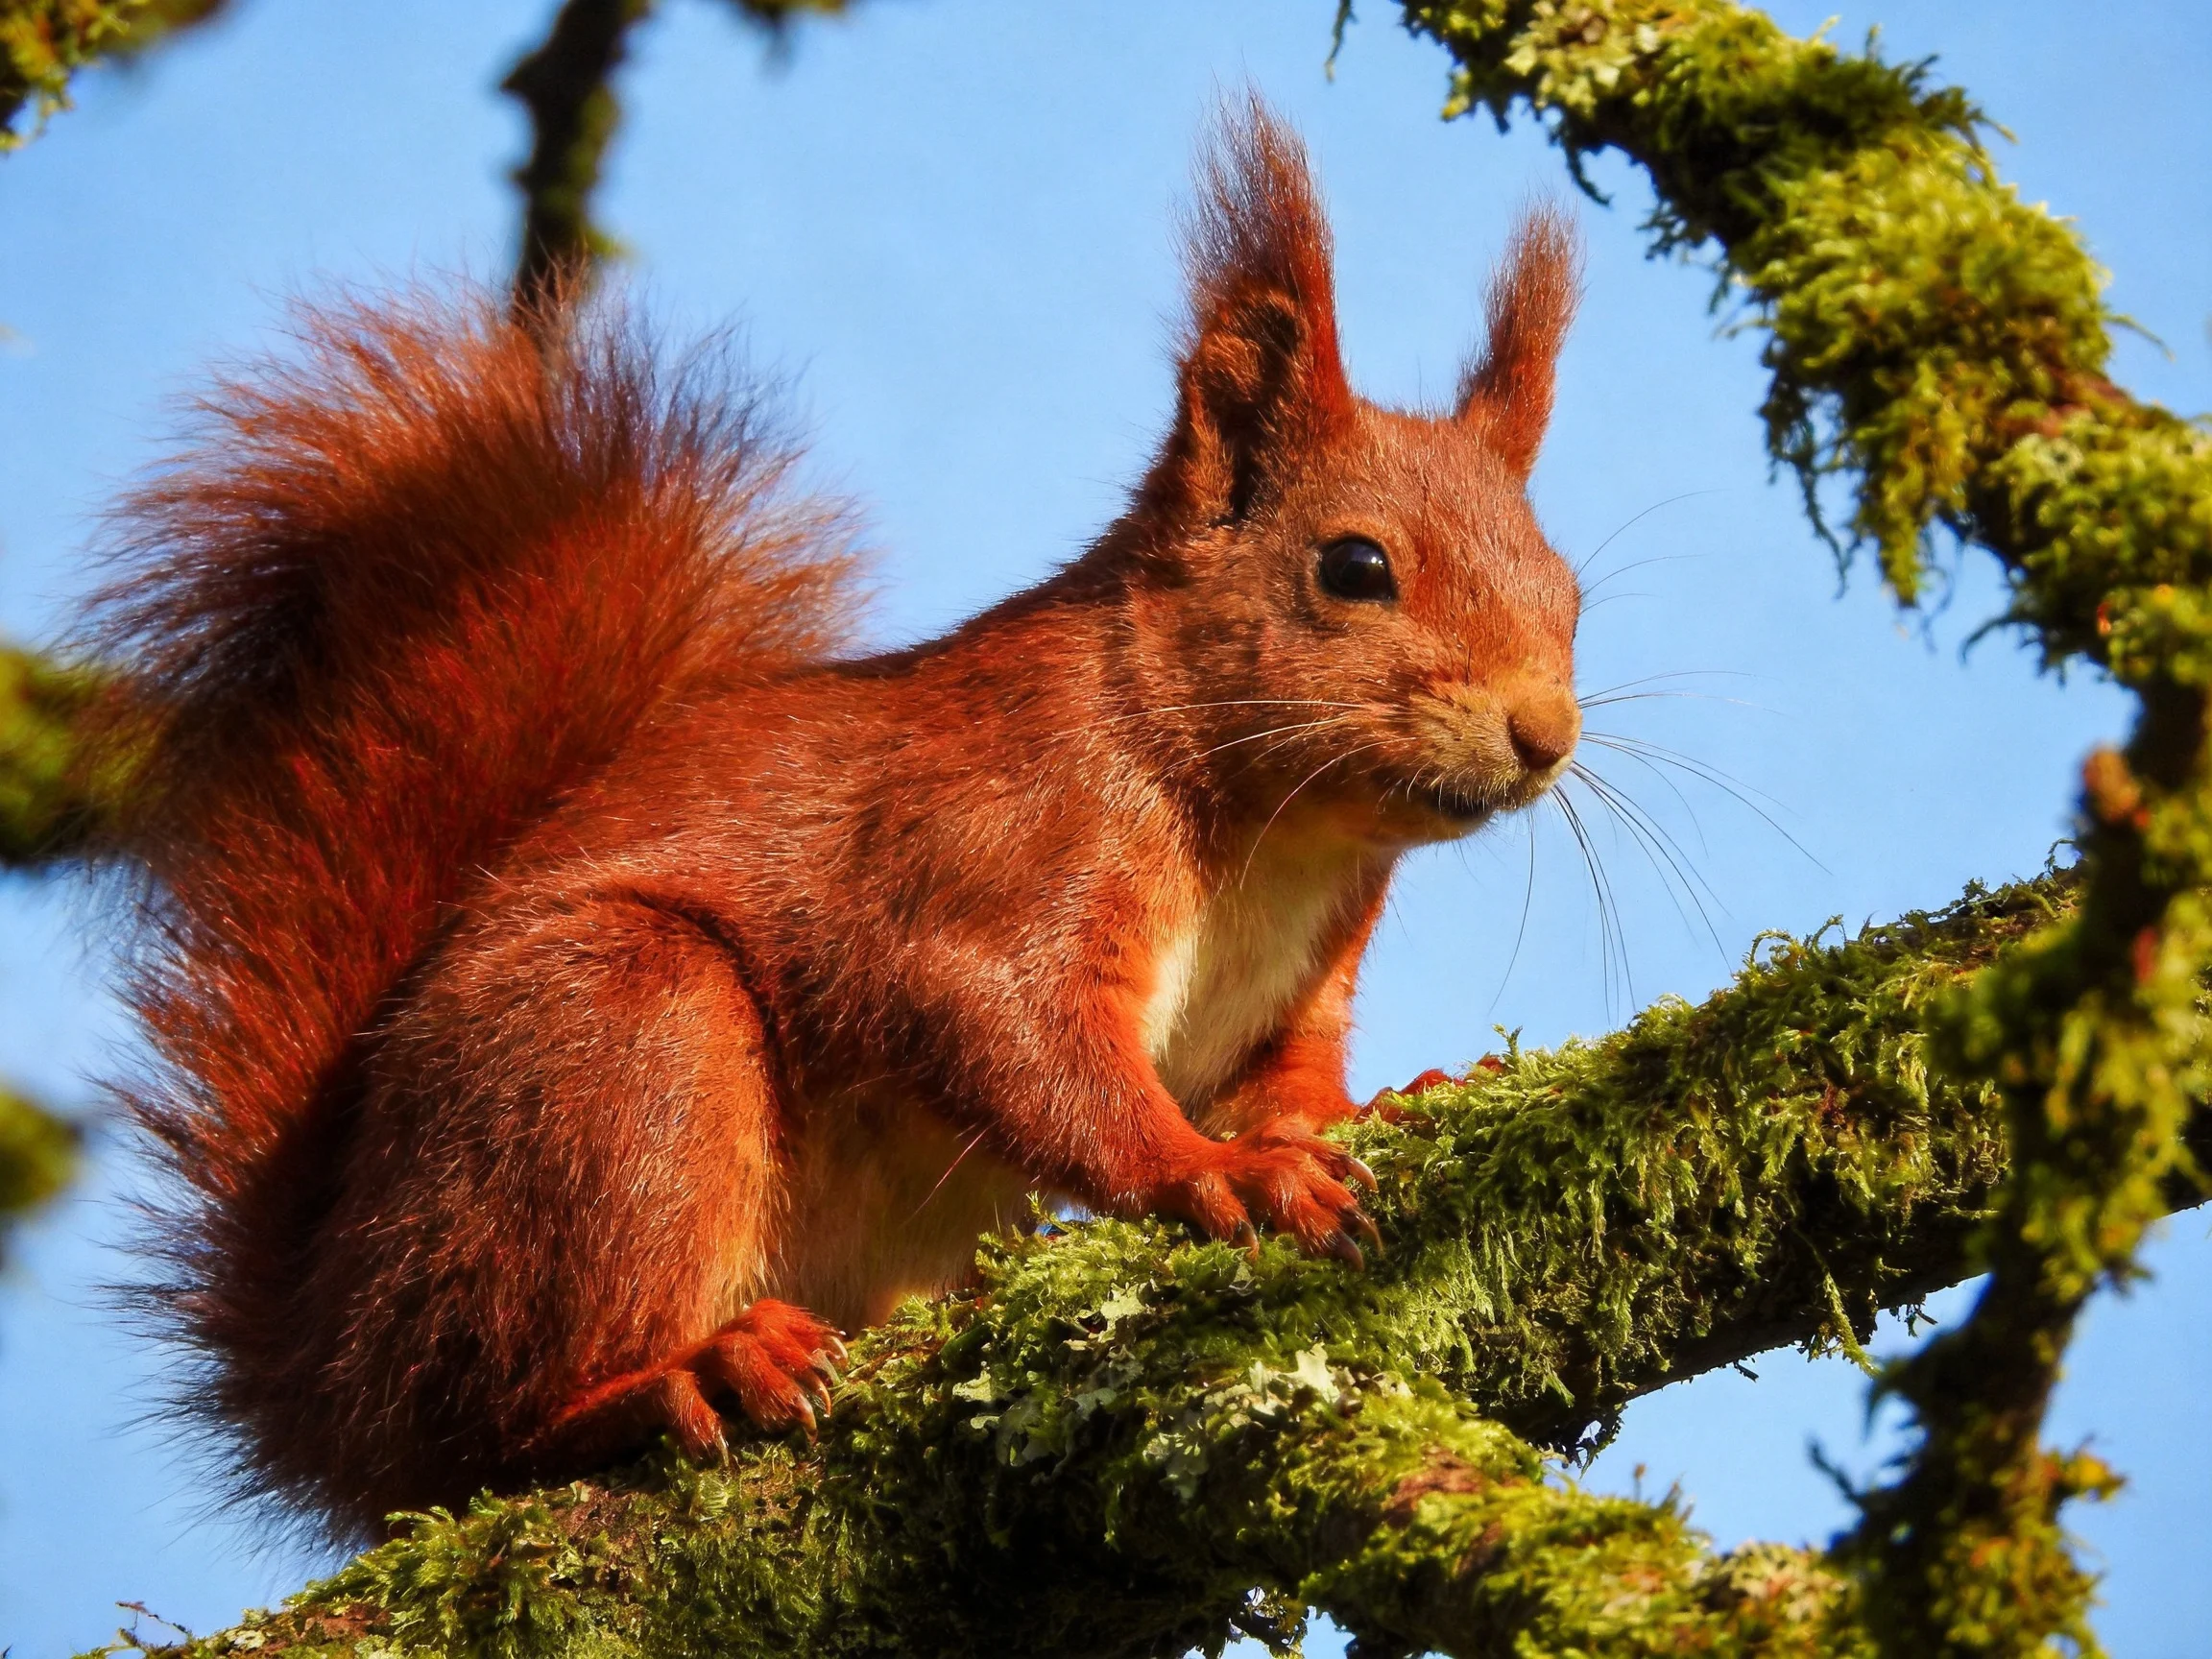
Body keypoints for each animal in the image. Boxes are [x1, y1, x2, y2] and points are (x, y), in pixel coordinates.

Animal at [92, 101, 1581, 1539]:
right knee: (489, 1427)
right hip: (613, 1049)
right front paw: (1210, 1175)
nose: (1545, 738)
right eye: (1355, 567)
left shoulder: (1298, 979)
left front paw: (1374, 1107)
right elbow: (1013, 1034)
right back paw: (677, 1376)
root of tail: (326, 1374)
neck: (1281, 835)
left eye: (1564, 589)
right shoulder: (1002, 839)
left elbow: (1287, 1078)